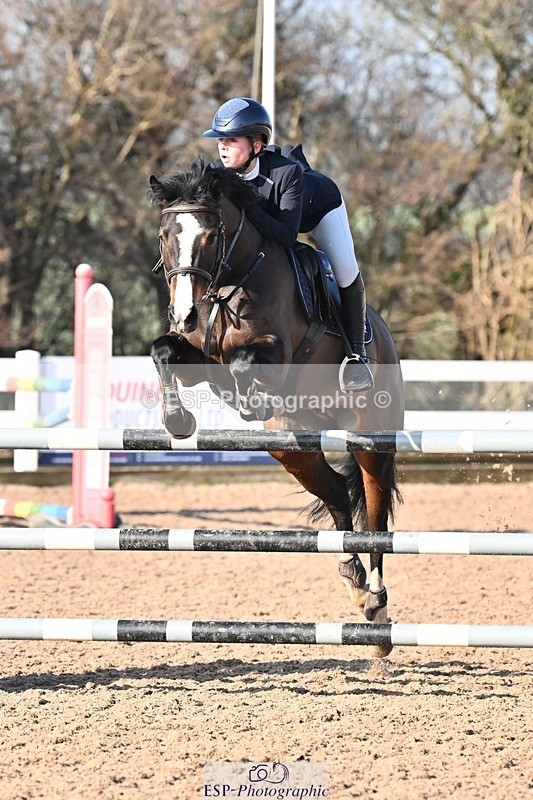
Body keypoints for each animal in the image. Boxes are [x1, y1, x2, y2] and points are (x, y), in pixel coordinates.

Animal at [149, 158, 404, 657]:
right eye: (165, 235)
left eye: (212, 235)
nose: (185, 315)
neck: (231, 281)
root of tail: (384, 335)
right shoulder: (196, 359)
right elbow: (163, 351)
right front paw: (178, 420)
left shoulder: (273, 351)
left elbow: (245, 362)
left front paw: (251, 399)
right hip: (293, 447)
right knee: (338, 495)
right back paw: (354, 581)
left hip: (371, 441)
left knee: (375, 514)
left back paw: (377, 604)